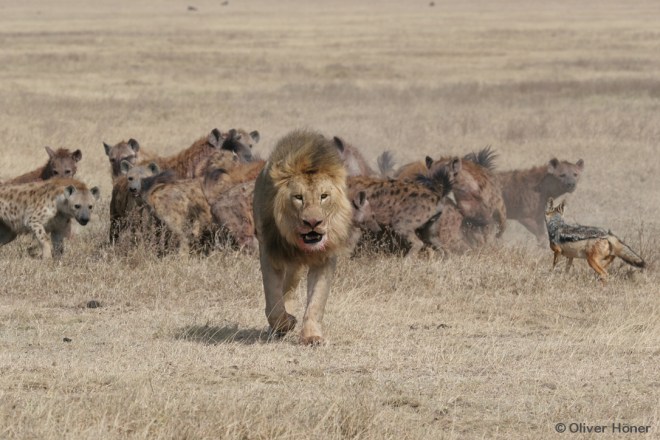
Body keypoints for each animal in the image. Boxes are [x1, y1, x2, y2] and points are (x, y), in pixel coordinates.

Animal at [253, 129, 352, 345]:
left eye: (324, 196)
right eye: (298, 197)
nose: (313, 222)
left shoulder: (324, 259)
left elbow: (316, 302)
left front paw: (312, 336)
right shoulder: (270, 253)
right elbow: (273, 299)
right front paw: (285, 323)